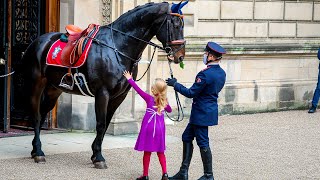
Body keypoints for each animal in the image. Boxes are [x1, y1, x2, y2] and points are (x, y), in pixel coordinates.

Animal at [21, 1, 186, 169]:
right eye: (175, 24)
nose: (179, 56)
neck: (118, 47)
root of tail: (37, 42)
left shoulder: (119, 96)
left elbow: (106, 125)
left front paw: (95, 154)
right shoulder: (102, 93)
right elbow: (100, 124)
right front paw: (99, 157)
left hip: (54, 90)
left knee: (42, 115)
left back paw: (35, 149)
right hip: (36, 85)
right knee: (36, 116)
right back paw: (38, 152)